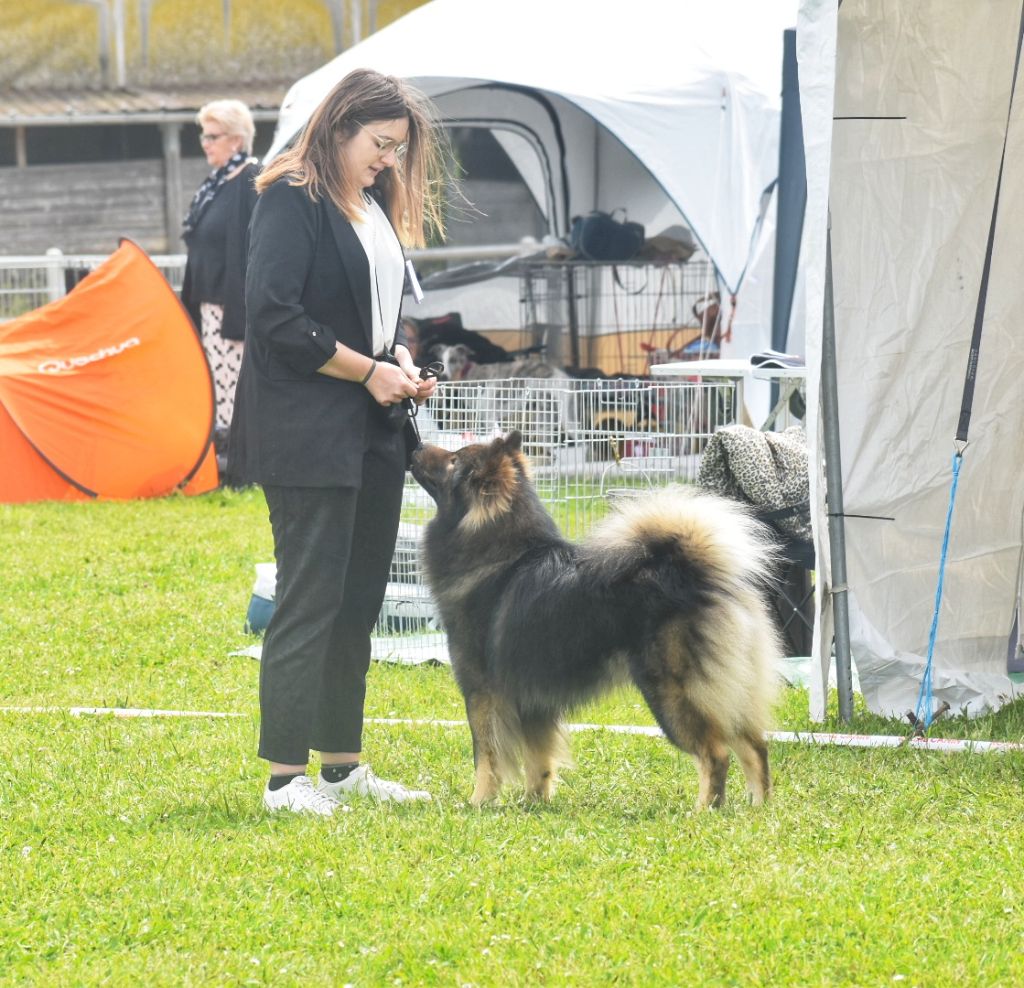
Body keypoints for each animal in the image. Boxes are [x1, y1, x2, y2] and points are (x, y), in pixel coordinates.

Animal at [407, 432, 782, 810]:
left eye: (454, 460)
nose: (416, 445)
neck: (499, 555)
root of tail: (696, 574)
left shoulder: (482, 690)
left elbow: (486, 755)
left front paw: (478, 802)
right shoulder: (532, 698)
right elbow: (538, 758)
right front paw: (533, 802)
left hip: (673, 690)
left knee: (716, 753)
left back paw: (704, 810)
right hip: (729, 690)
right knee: (754, 746)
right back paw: (758, 806)